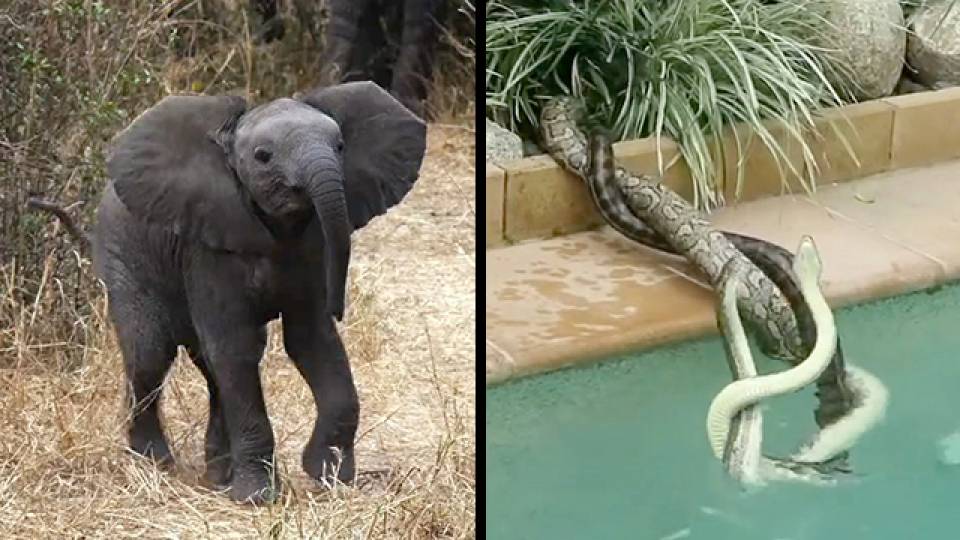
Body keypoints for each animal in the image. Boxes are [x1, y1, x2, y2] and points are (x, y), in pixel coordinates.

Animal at [28, 81, 427, 504]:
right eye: (263, 157)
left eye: (340, 146)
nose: (340, 307)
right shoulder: (208, 248)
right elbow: (236, 348)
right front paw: (257, 498)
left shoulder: (312, 246)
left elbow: (312, 341)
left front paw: (329, 476)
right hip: (122, 255)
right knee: (150, 354)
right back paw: (155, 465)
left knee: (209, 366)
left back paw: (218, 476)